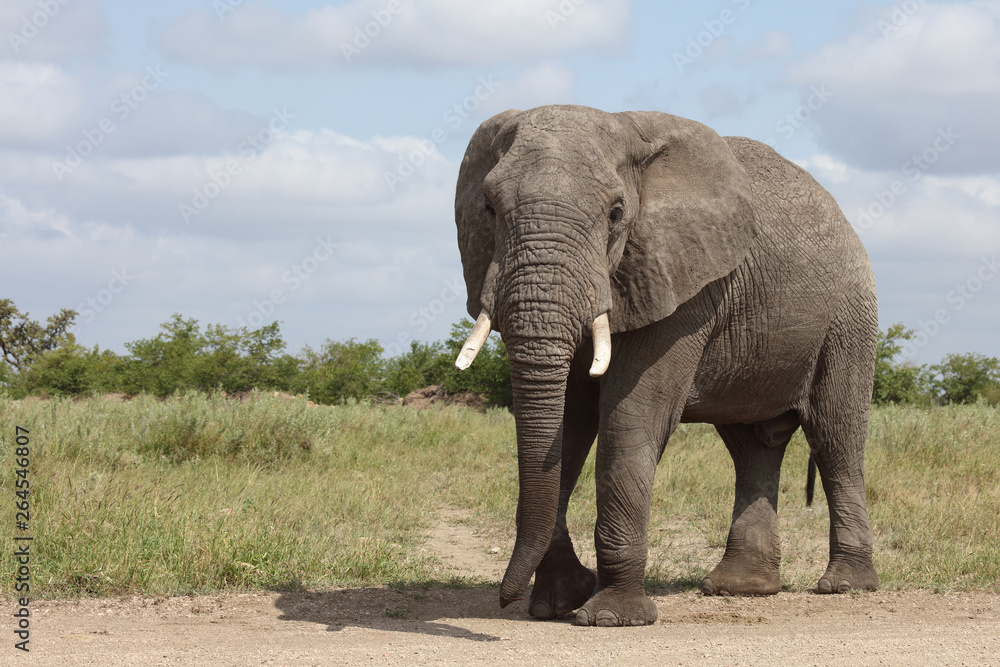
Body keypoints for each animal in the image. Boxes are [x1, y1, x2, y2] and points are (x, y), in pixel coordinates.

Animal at [452, 104, 876, 628]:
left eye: (616, 213)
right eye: (489, 209)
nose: (503, 600)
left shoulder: (681, 286)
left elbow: (630, 418)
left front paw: (609, 618)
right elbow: (567, 428)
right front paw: (558, 604)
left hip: (848, 316)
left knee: (836, 438)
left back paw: (845, 586)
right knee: (753, 447)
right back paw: (740, 589)